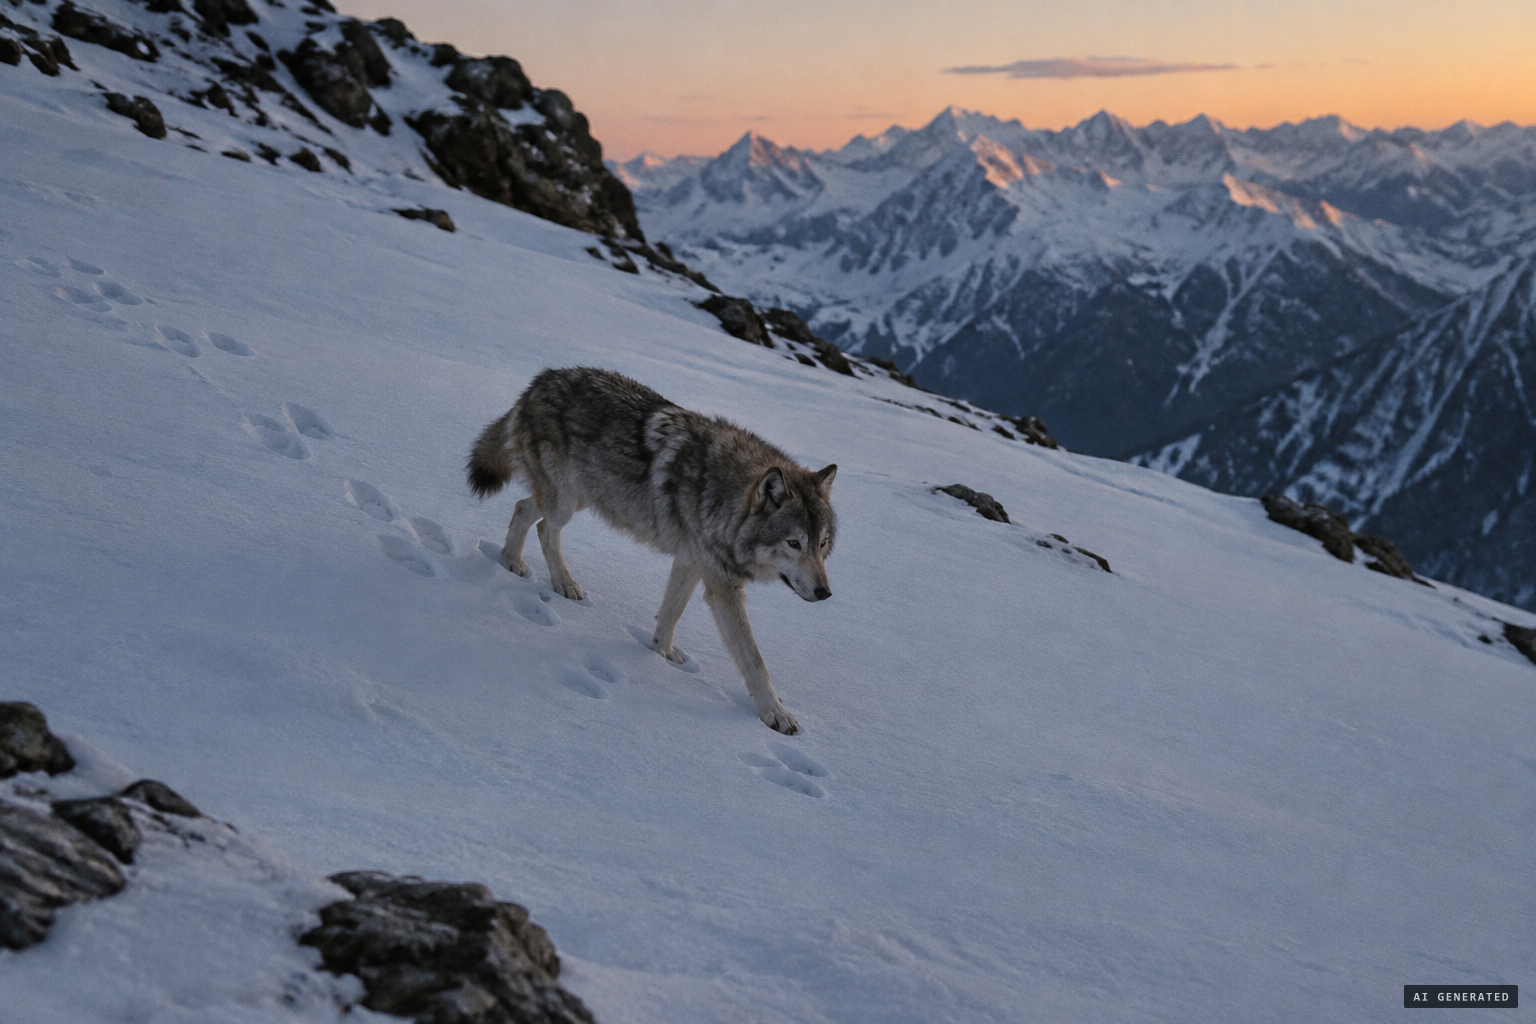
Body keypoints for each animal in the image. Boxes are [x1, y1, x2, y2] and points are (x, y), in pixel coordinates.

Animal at [466, 367, 837, 734]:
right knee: (544, 527)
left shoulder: (690, 562)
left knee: (523, 509)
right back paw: (562, 583)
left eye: (821, 544)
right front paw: (775, 713)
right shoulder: (722, 586)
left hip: (580, 497)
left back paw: (512, 561)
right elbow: (754, 658)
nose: (825, 593)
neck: (722, 498)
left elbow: (671, 613)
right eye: (793, 543)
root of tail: (542, 378)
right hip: (566, 503)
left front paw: (660, 657)